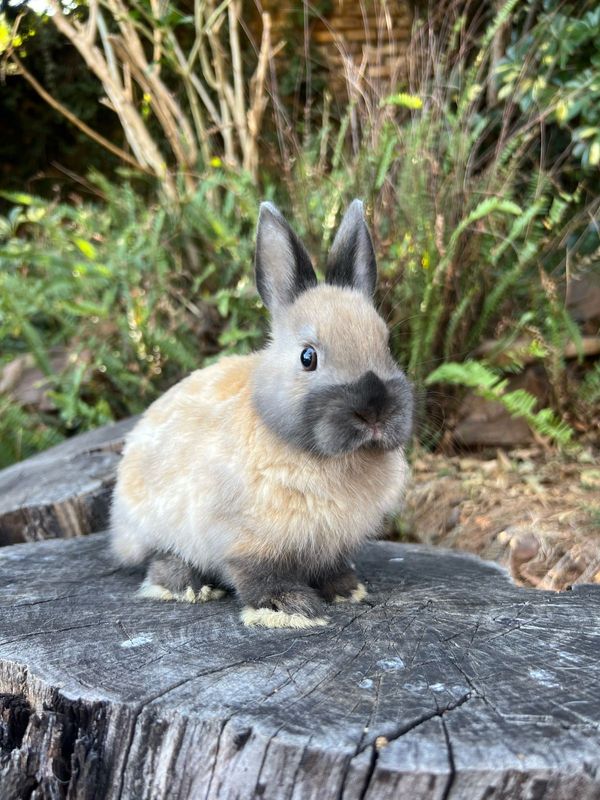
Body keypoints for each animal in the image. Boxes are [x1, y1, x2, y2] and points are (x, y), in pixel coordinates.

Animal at [109, 198, 412, 624]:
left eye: (386, 345)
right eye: (307, 357)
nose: (375, 413)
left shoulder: (331, 545)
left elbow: (331, 568)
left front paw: (346, 591)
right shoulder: (245, 540)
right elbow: (256, 574)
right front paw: (287, 608)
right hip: (155, 527)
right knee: (161, 559)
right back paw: (189, 587)